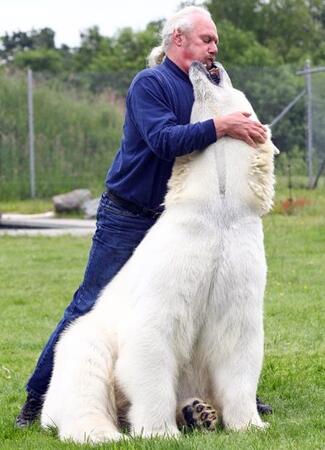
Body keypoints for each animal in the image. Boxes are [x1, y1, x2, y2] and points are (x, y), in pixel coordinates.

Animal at [41, 60, 278, 442]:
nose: (207, 61)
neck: (218, 209)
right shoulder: (172, 267)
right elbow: (152, 337)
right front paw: (159, 431)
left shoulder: (238, 261)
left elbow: (237, 343)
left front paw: (251, 424)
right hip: (85, 342)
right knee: (84, 375)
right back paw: (103, 432)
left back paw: (199, 412)